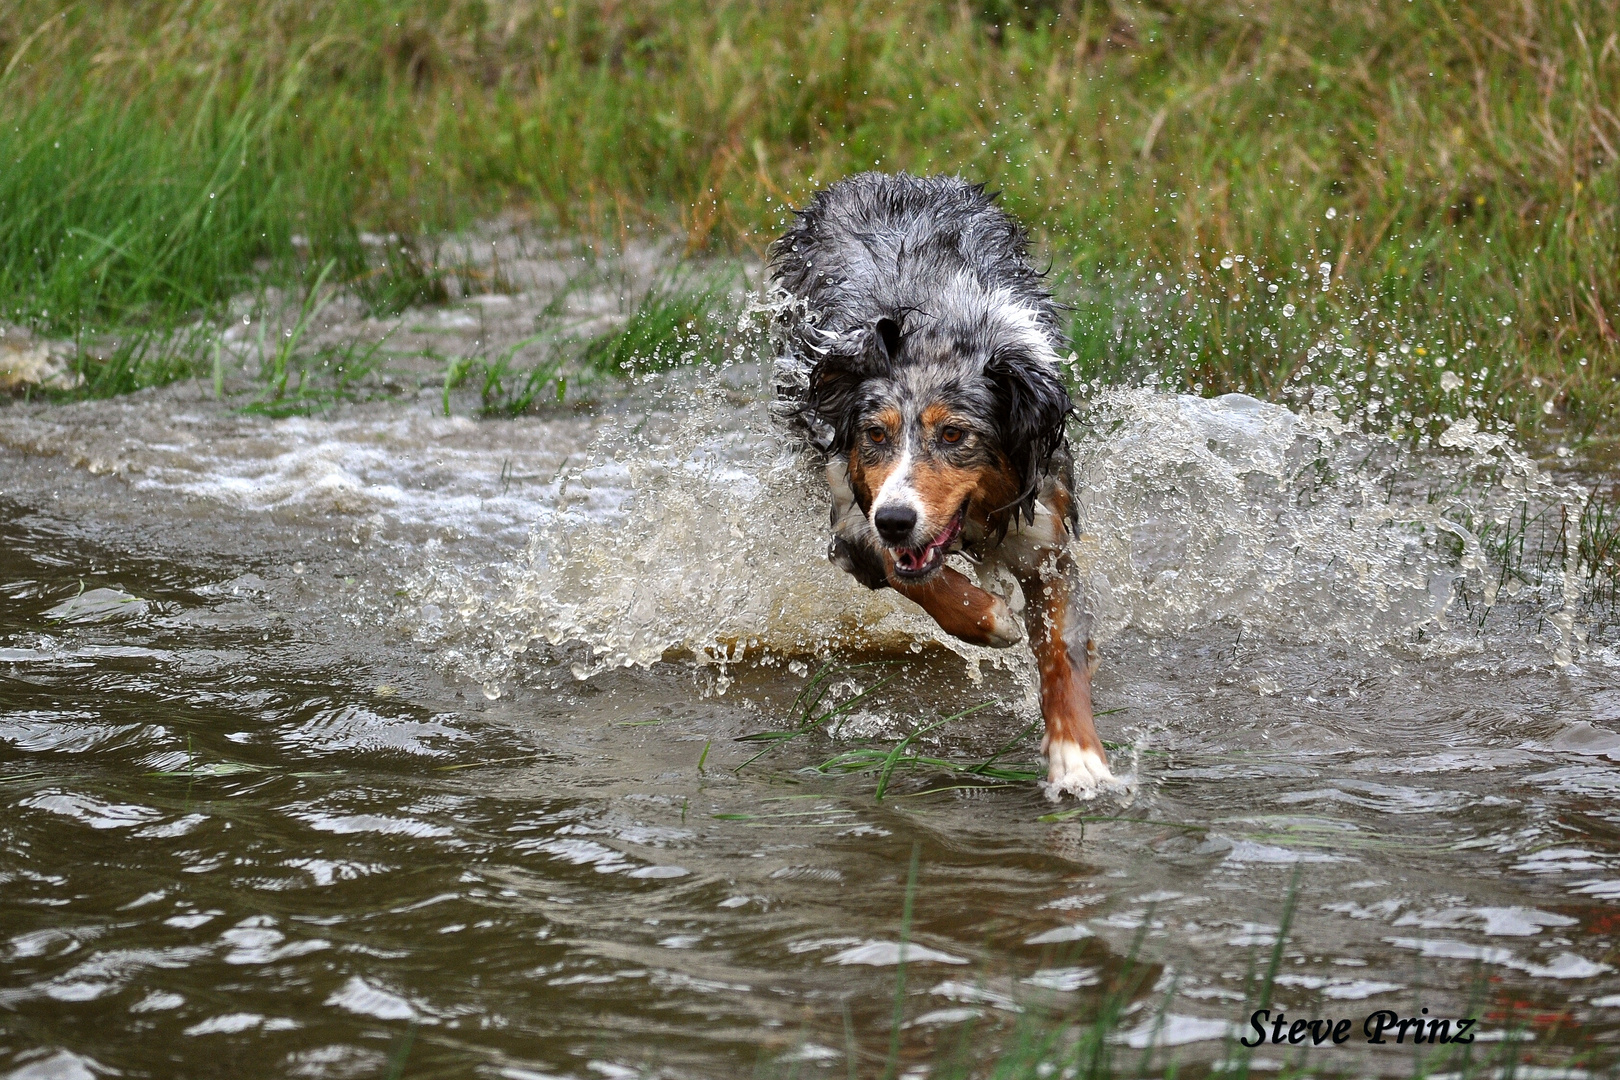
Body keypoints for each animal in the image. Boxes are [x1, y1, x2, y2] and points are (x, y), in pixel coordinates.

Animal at [767, 169, 1121, 793]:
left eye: (955, 434)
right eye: (876, 434)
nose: (896, 519)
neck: (941, 326)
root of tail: (886, 175)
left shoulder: (1045, 541)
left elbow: (1061, 649)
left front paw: (1078, 754)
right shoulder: (851, 515)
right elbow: (909, 575)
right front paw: (992, 619)